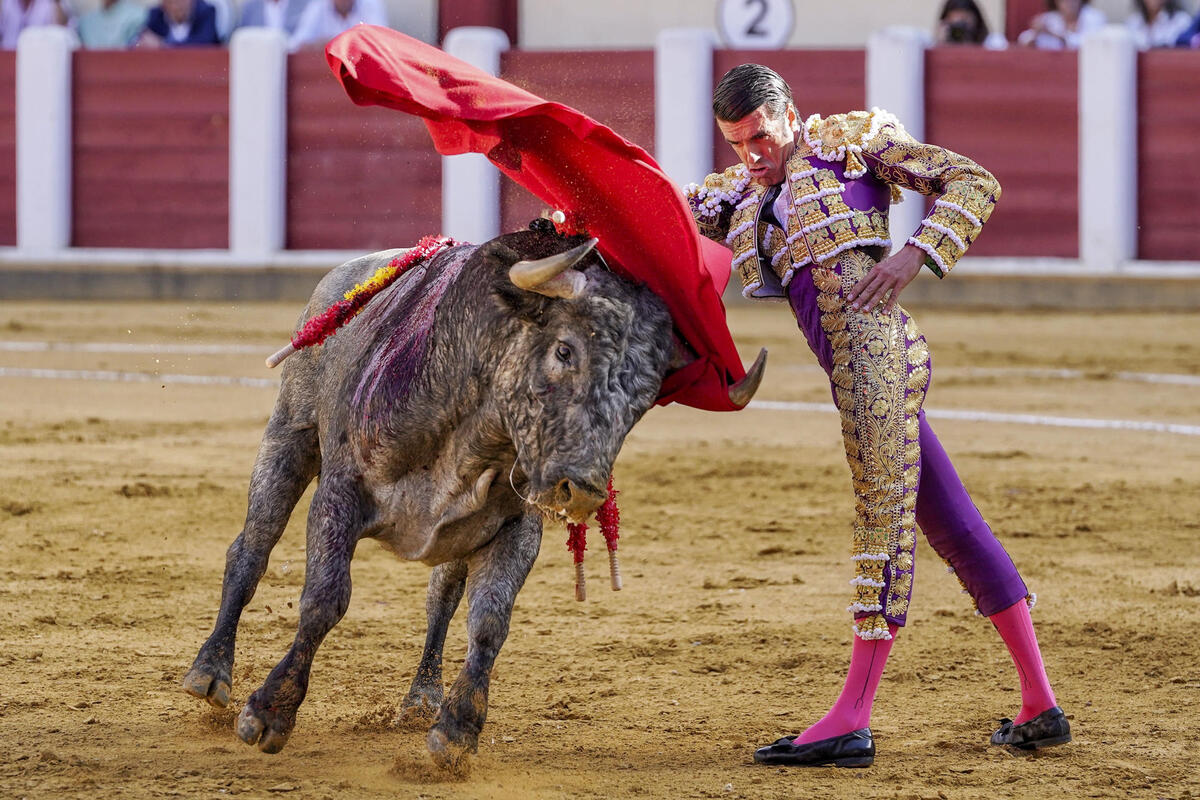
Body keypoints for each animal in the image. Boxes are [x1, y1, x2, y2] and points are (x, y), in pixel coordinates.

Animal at [181, 224, 768, 767]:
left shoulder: (518, 530)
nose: (581, 492)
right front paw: (269, 713)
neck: (476, 438)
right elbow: (325, 598)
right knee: (252, 547)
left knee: (441, 596)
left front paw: (457, 731)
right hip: (290, 435)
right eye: (564, 349)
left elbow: (488, 622)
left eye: (645, 398)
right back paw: (209, 675)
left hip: (452, 537)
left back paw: (422, 697)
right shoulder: (339, 496)